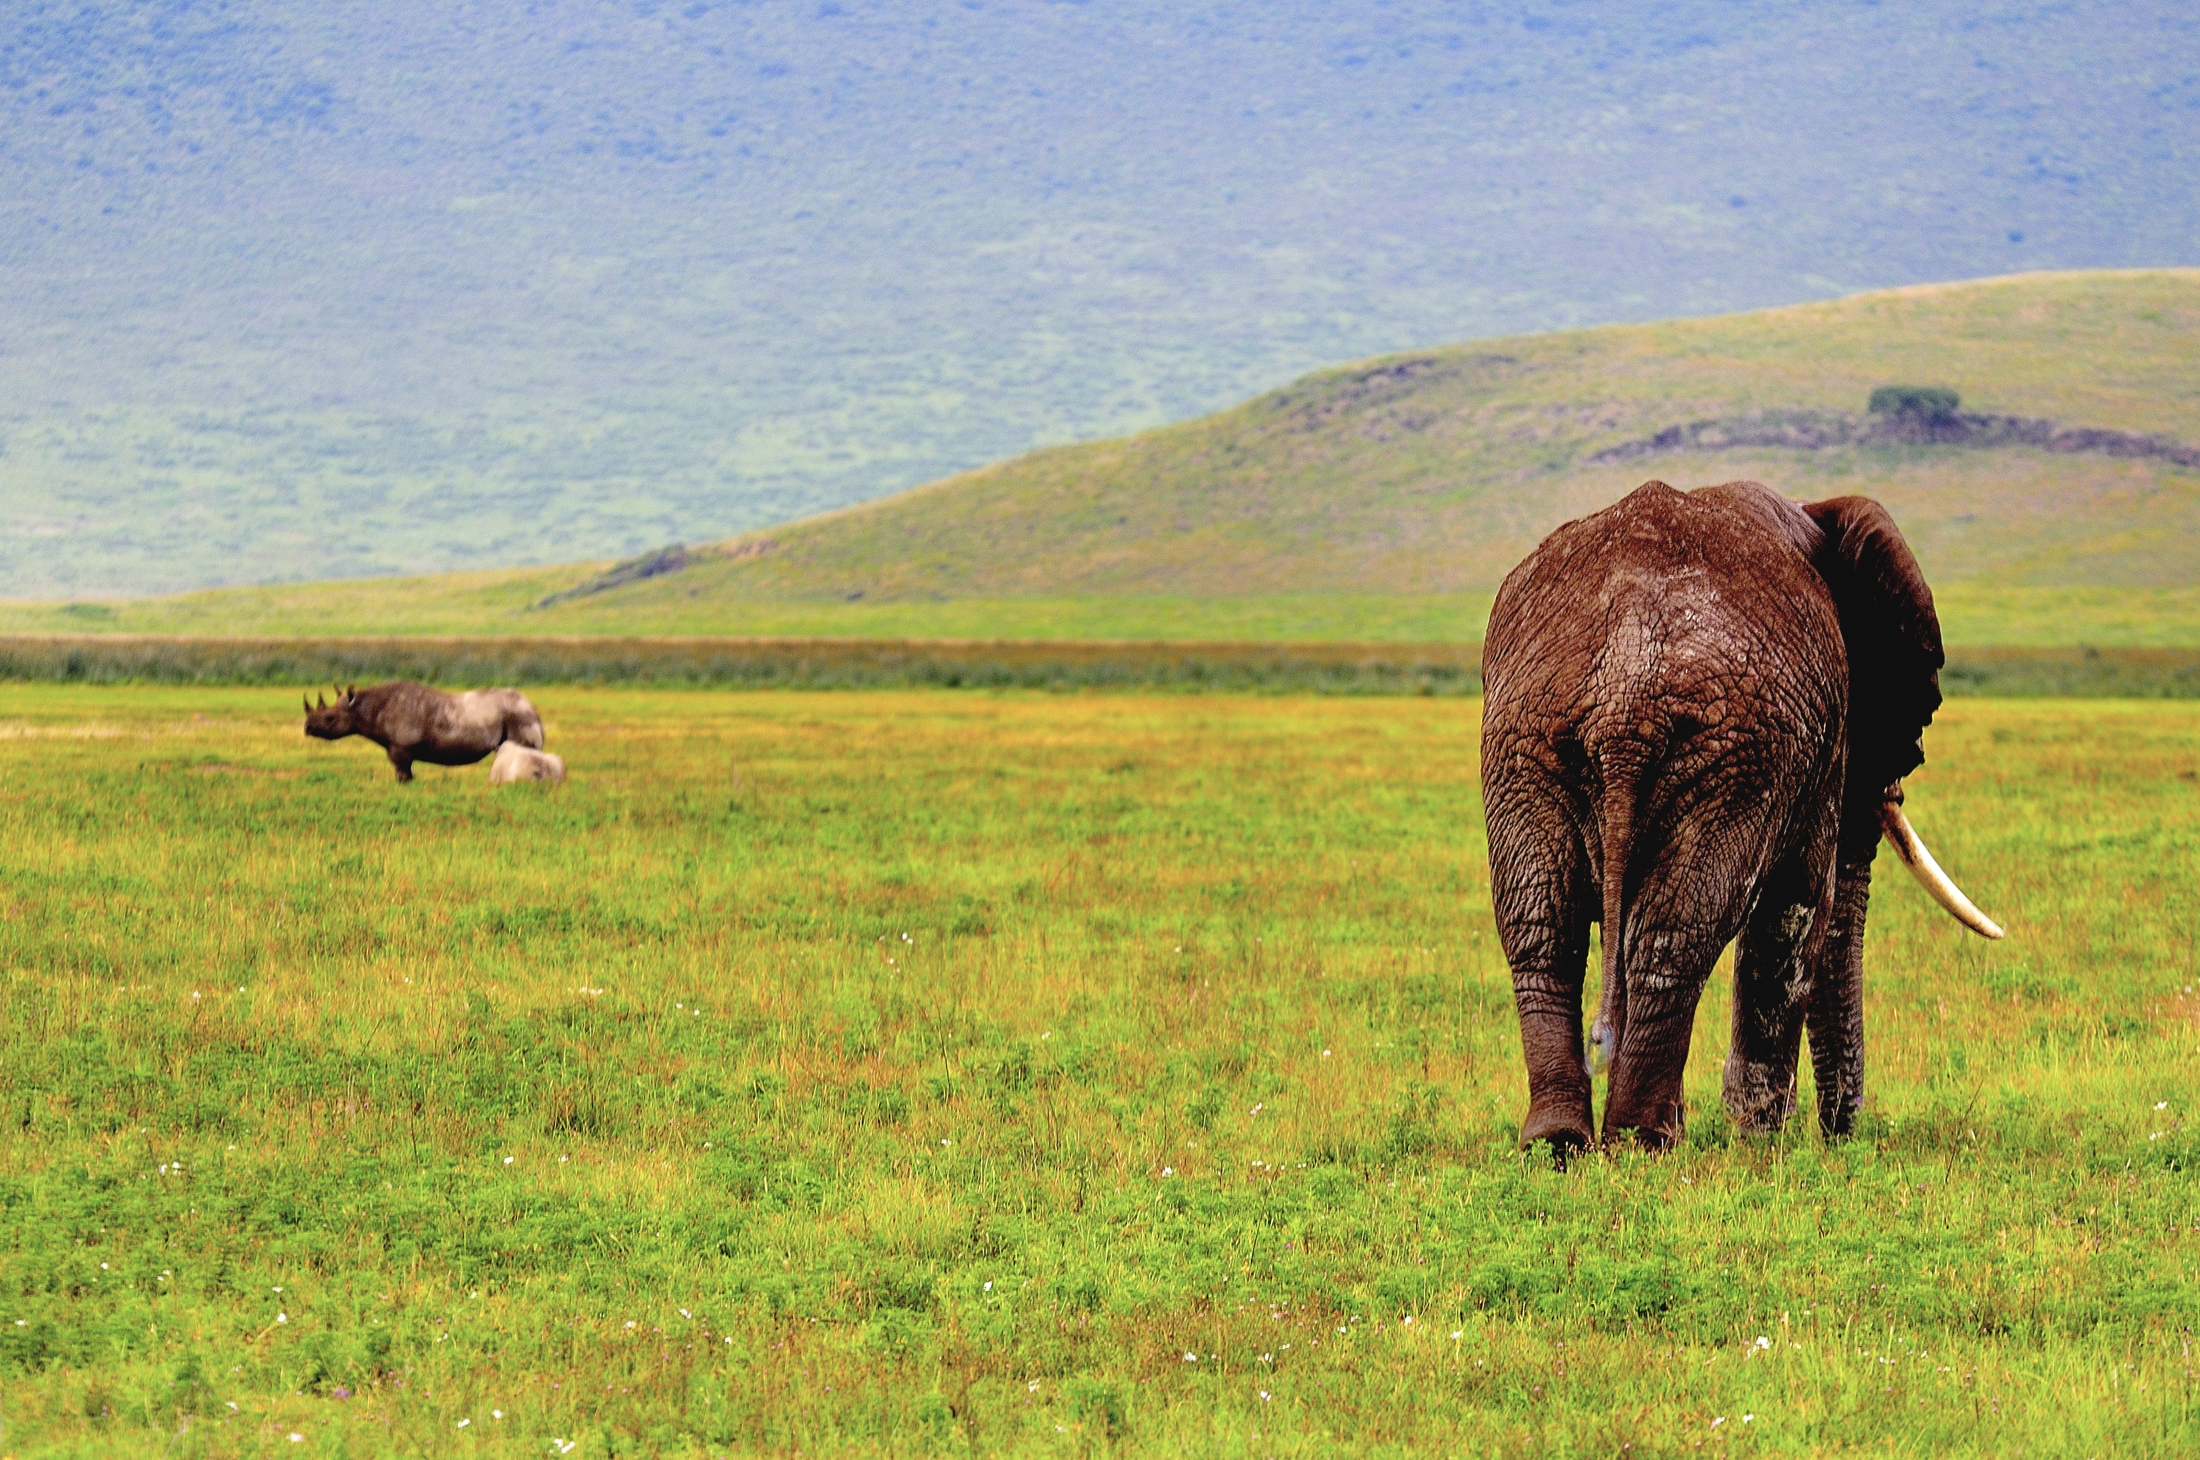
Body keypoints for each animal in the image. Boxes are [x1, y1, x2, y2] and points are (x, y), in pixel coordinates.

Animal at [1479, 480, 2001, 1157]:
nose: (1839, 1136)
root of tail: (1623, 703)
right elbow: (1796, 907)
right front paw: (1760, 1138)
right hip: (1724, 749)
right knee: (1679, 927)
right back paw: (1642, 1141)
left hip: (1535, 737)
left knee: (1544, 922)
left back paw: (1563, 1144)